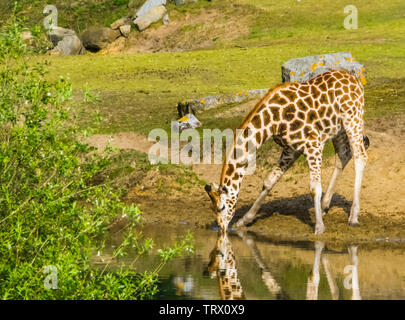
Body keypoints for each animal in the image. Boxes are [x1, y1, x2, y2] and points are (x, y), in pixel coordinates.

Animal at [205, 69, 370, 235]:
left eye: (222, 207)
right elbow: (269, 181)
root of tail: (355, 79)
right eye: (211, 208)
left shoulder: (313, 144)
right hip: (338, 129)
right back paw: (324, 206)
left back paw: (353, 217)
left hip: (353, 119)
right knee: (344, 154)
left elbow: (314, 187)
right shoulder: (291, 149)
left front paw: (319, 227)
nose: (220, 228)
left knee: (360, 157)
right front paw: (244, 220)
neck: (272, 121)